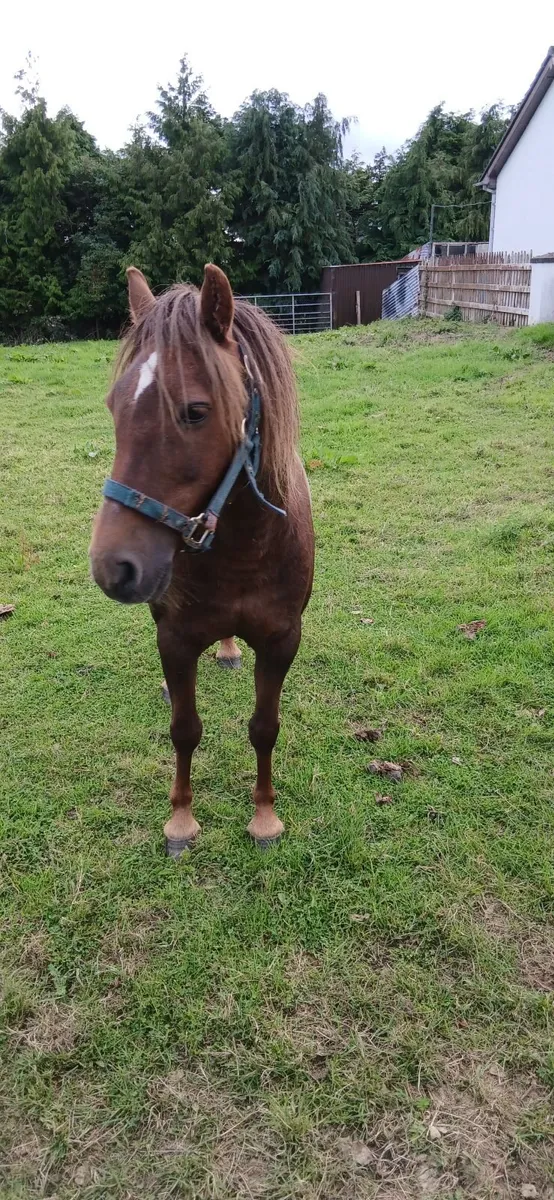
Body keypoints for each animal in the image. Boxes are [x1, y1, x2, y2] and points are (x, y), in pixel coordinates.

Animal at [89, 264, 315, 855]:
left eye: (194, 411)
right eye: (115, 406)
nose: (112, 568)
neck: (243, 551)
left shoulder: (282, 640)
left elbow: (264, 727)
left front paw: (264, 818)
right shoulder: (176, 637)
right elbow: (184, 729)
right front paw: (181, 821)